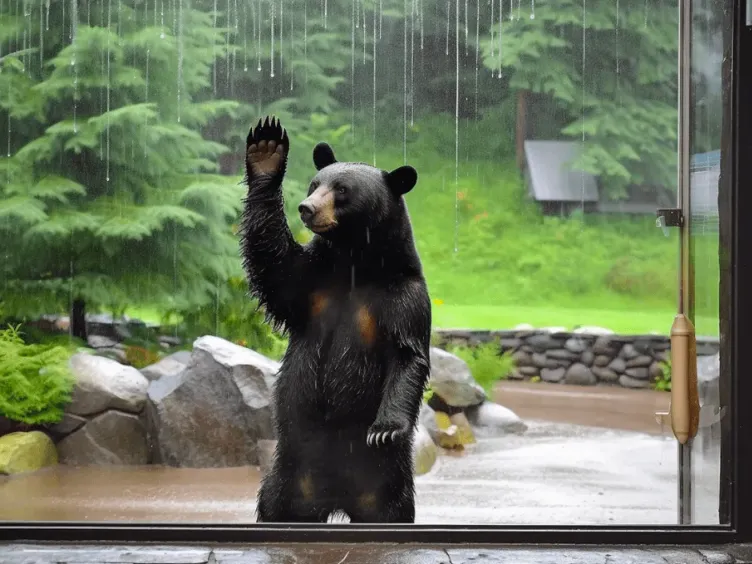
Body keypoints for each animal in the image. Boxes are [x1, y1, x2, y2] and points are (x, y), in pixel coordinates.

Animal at [239, 116, 432, 523]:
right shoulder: (315, 283)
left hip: (385, 482)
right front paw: (266, 149)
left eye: (342, 190)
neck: (354, 263)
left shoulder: (403, 296)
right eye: (316, 184)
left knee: (392, 511)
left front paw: (384, 430)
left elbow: (407, 353)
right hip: (290, 473)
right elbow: (275, 266)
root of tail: (338, 499)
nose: (306, 208)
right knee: (274, 505)